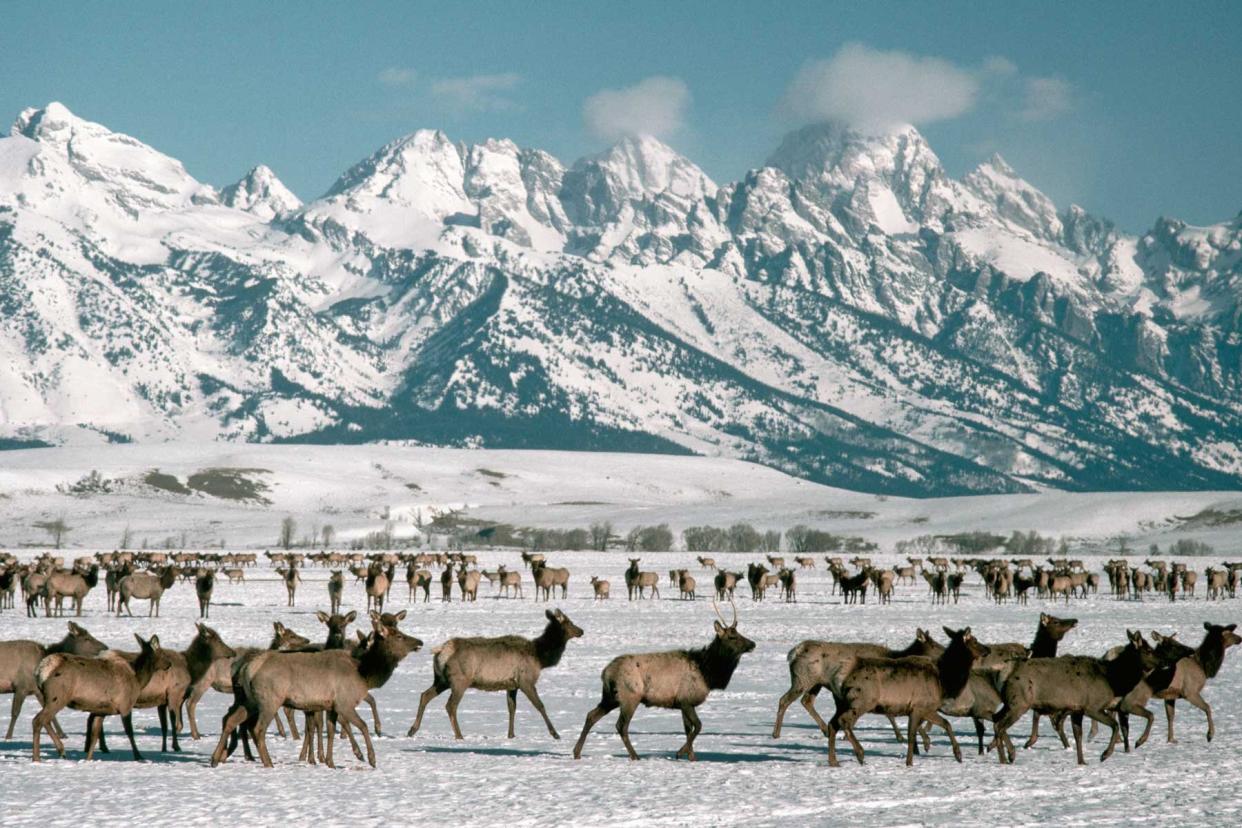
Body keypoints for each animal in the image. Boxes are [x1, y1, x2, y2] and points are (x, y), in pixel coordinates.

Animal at [31, 635, 162, 764]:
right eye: (161, 651)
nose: (166, 666)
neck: (138, 681)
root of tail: (41, 671)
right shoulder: (126, 705)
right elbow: (129, 732)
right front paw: (139, 757)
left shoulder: (101, 711)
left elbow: (95, 735)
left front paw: (88, 759)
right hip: (58, 697)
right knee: (38, 720)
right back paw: (37, 757)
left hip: (48, 697)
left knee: (45, 720)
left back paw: (60, 751)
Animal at [213, 615, 422, 769]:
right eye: (399, 636)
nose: (419, 641)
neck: (364, 674)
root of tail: (249, 667)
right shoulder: (344, 702)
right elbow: (362, 725)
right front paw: (369, 758)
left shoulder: (330, 706)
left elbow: (330, 732)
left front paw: (330, 762)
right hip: (269, 699)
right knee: (257, 728)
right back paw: (268, 763)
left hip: (248, 700)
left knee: (230, 720)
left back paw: (216, 758)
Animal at [407, 608, 581, 739]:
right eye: (569, 622)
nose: (581, 631)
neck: (540, 657)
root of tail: (442, 650)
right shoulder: (526, 680)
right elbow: (540, 705)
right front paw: (555, 734)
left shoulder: (512, 685)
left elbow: (512, 708)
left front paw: (511, 735)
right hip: (460, 680)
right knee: (450, 705)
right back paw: (459, 735)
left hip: (441, 680)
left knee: (425, 695)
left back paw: (412, 730)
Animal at [573, 598, 755, 759]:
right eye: (732, 637)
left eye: (739, 632)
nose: (753, 644)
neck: (708, 673)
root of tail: (606, 672)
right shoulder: (686, 699)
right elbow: (698, 726)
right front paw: (680, 752)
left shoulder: (683, 703)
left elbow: (688, 729)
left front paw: (691, 757)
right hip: (630, 695)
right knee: (621, 725)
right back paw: (634, 756)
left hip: (611, 697)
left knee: (591, 715)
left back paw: (576, 752)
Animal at [824, 628, 988, 769]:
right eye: (975, 641)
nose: (988, 649)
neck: (943, 681)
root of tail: (842, 674)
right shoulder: (920, 706)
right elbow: (913, 735)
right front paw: (911, 762)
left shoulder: (924, 708)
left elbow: (944, 724)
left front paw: (957, 755)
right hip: (863, 700)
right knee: (844, 721)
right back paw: (860, 754)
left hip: (842, 703)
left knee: (832, 724)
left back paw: (833, 761)